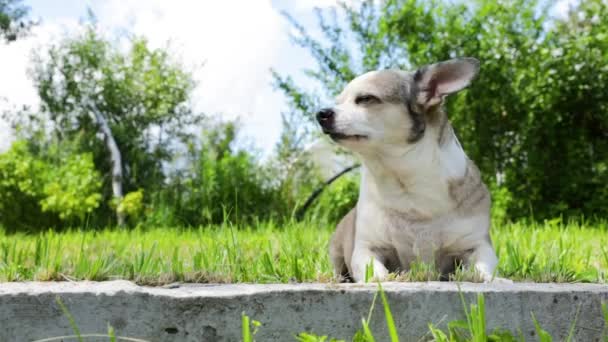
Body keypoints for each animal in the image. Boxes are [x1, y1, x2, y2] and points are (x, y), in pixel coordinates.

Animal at [316, 58, 506, 284]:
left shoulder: (477, 245)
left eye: (365, 99)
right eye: (338, 101)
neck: (406, 182)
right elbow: (373, 269)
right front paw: (382, 279)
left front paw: (491, 278)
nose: (321, 113)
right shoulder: (367, 248)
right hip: (337, 249)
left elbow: (483, 268)